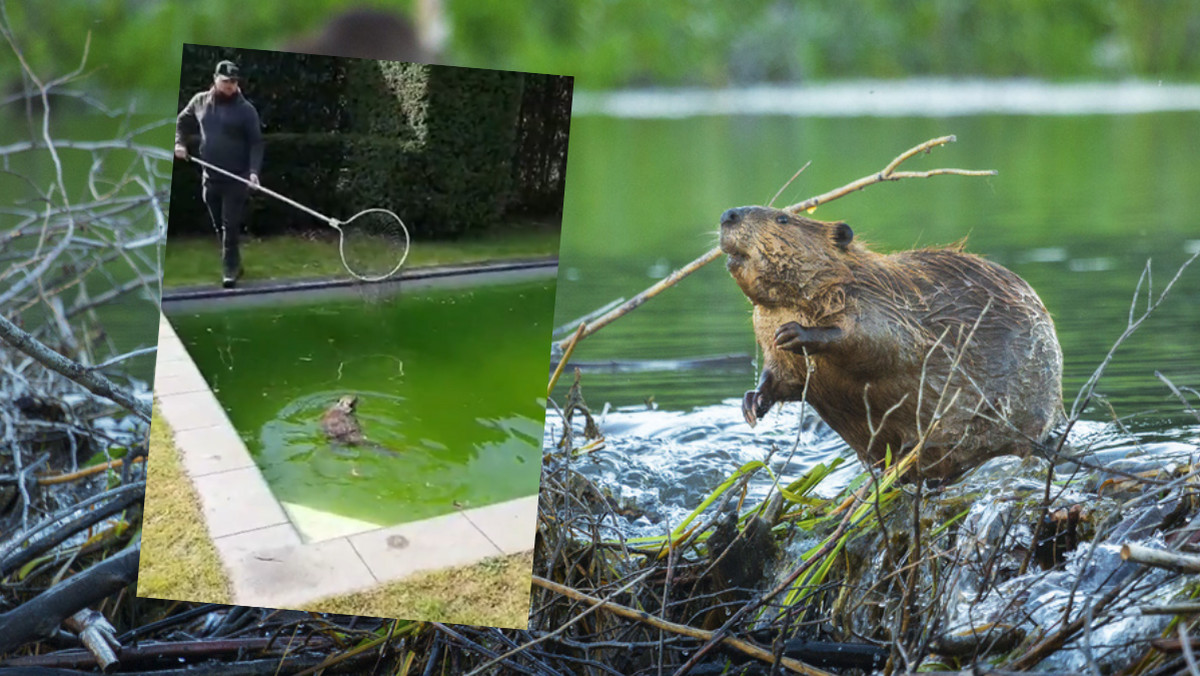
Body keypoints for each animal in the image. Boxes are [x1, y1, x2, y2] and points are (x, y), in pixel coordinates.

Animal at [715, 206, 1065, 480]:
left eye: (783, 218)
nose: (728, 215)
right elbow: (781, 377)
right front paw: (752, 404)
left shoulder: (878, 301)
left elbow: (883, 342)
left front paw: (795, 333)